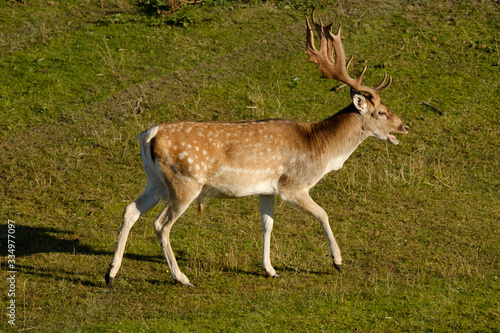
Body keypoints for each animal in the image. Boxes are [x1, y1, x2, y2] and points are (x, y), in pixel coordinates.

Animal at [103, 10, 408, 286]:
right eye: (382, 112)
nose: (404, 126)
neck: (320, 148)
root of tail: (149, 135)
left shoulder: (267, 189)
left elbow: (266, 223)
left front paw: (270, 269)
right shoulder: (293, 186)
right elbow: (323, 213)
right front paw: (337, 262)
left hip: (155, 181)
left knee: (130, 210)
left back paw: (111, 274)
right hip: (184, 182)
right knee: (160, 224)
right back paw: (182, 278)